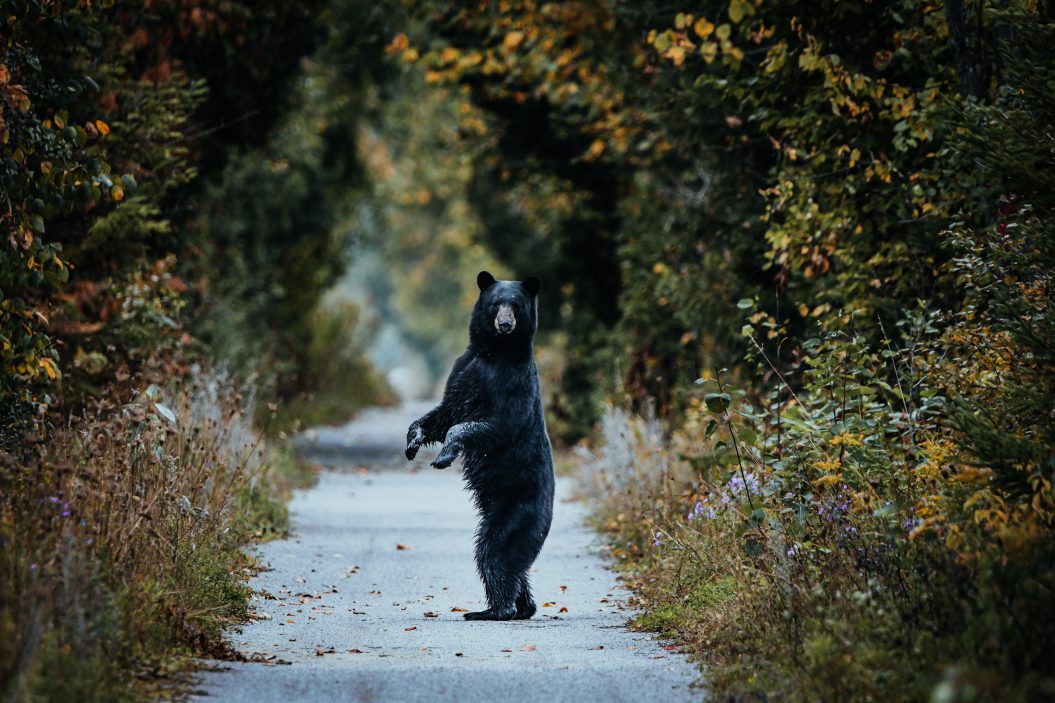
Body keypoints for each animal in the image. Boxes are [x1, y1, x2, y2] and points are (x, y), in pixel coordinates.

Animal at [405, 270, 555, 621]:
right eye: (495, 302)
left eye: (515, 304)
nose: (505, 323)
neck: (493, 353)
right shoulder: (462, 369)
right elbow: (443, 414)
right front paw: (413, 440)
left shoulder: (512, 383)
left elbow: (493, 423)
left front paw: (443, 456)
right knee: (513, 566)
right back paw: (523, 606)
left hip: (517, 510)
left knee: (496, 552)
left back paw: (494, 610)